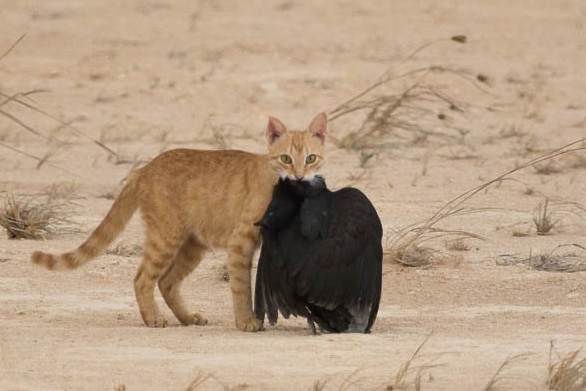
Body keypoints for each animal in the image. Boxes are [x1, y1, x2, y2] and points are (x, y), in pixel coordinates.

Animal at [32, 112, 326, 330]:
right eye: (286, 158)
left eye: (311, 158)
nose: (299, 176)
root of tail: (143, 169)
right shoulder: (240, 242)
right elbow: (242, 287)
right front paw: (246, 322)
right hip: (166, 239)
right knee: (142, 278)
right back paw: (153, 318)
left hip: (192, 246)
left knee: (167, 282)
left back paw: (187, 318)